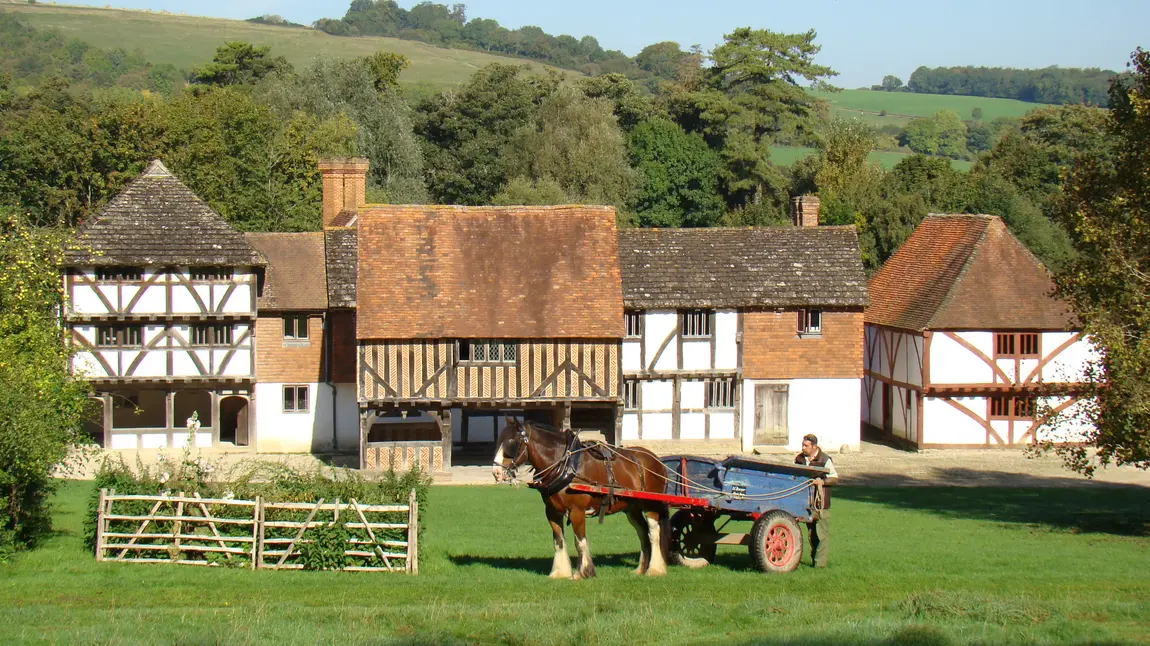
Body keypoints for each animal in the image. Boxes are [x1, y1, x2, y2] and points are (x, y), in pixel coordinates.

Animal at [494, 418, 671, 579]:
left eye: (511, 442)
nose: (496, 473)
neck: (566, 465)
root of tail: (656, 460)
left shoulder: (576, 511)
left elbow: (579, 542)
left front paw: (583, 572)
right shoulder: (552, 511)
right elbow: (558, 541)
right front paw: (559, 572)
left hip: (651, 504)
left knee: (653, 532)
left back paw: (654, 569)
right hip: (632, 509)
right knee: (642, 532)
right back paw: (641, 569)